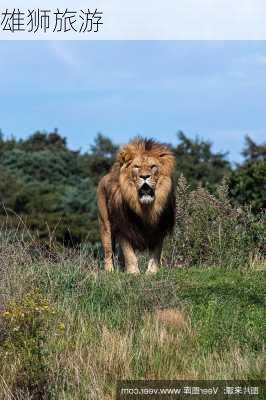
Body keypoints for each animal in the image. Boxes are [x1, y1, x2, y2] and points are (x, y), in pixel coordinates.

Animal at [96, 138, 176, 276]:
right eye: (136, 167)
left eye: (153, 166)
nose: (144, 176)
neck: (146, 208)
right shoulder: (123, 227)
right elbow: (129, 253)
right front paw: (133, 273)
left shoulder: (159, 228)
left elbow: (155, 253)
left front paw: (151, 272)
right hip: (105, 224)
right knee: (108, 251)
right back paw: (110, 272)